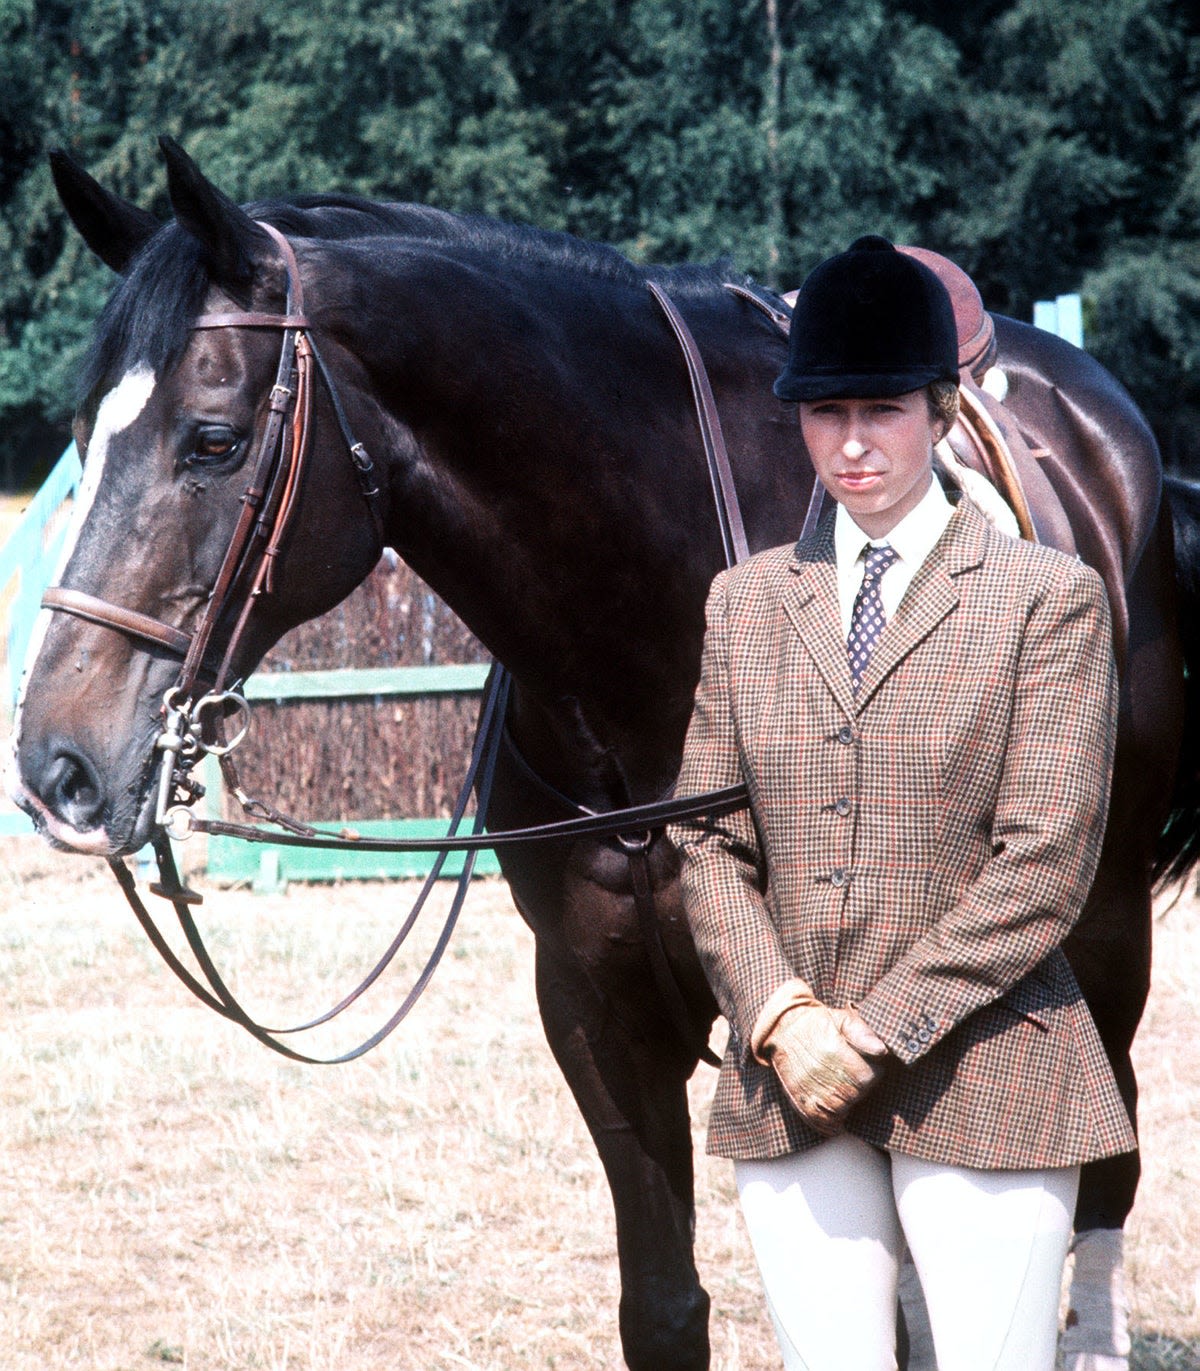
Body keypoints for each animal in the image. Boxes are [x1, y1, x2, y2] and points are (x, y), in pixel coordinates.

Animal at [9, 133, 1200, 1365]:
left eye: (214, 440)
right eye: (83, 441)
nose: (61, 766)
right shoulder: (596, 1005)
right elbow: (666, 1309)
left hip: (1101, 931)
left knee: (1102, 1158)